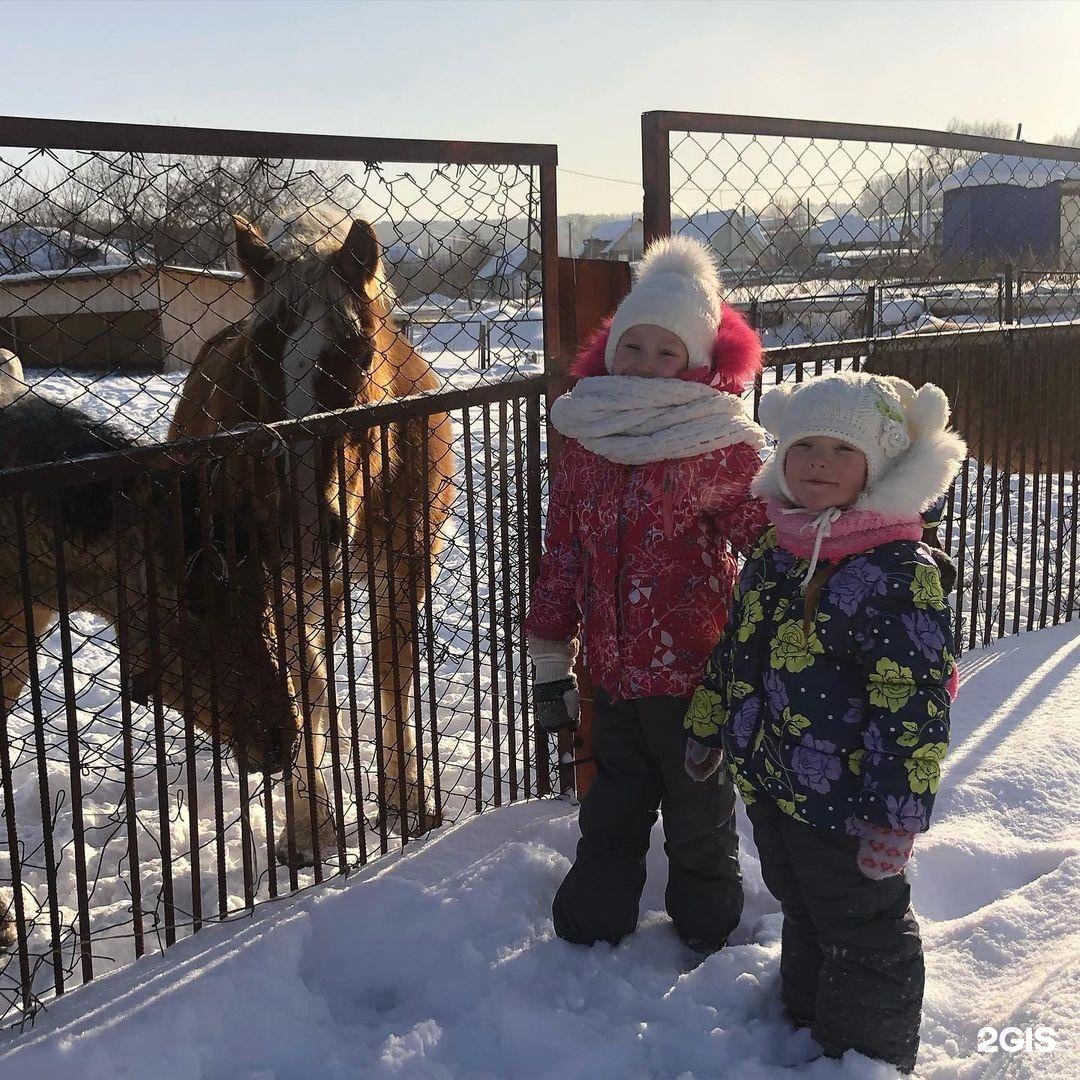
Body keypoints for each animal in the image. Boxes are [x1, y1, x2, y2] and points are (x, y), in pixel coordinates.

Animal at [168, 212, 455, 868]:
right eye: (258, 359)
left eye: (360, 351)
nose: (303, 522)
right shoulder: (279, 580)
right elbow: (307, 689)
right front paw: (310, 830)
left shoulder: (405, 563)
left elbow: (394, 671)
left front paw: (409, 800)